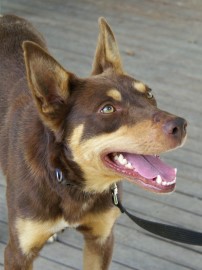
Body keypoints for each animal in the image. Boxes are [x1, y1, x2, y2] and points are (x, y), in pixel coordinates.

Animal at [0, 15, 187, 270]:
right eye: (107, 109)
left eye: (149, 94)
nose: (182, 125)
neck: (70, 182)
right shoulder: (18, 253)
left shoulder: (101, 239)